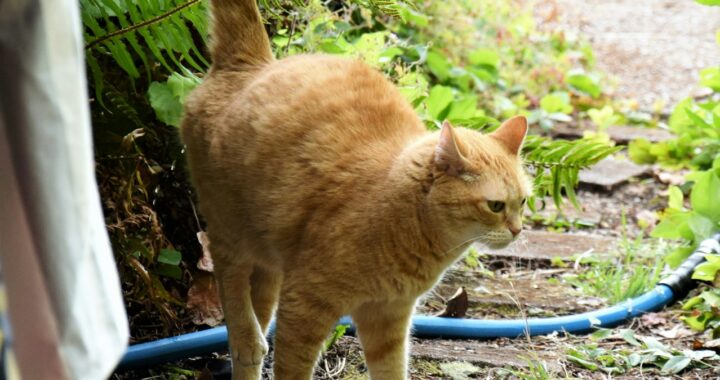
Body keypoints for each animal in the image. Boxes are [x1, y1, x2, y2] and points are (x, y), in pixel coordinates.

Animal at [183, 0, 532, 378]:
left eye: (523, 202)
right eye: (495, 206)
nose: (517, 229)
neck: (403, 219)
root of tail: (255, 63)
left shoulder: (387, 319)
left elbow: (391, 370)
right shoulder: (304, 305)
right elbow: (292, 367)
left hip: (269, 255)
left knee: (257, 309)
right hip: (229, 227)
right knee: (231, 284)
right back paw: (247, 339)